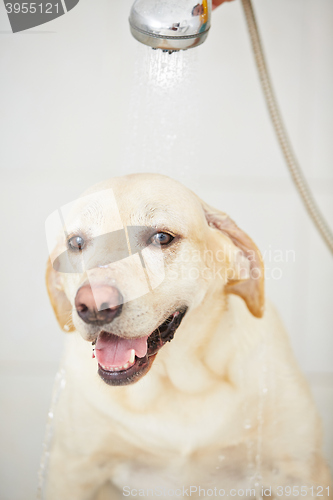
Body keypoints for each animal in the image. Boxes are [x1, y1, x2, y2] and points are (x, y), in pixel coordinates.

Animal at [44, 174, 330, 498]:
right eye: (76, 243)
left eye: (161, 238)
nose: (93, 305)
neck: (177, 382)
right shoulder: (72, 471)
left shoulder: (300, 474)